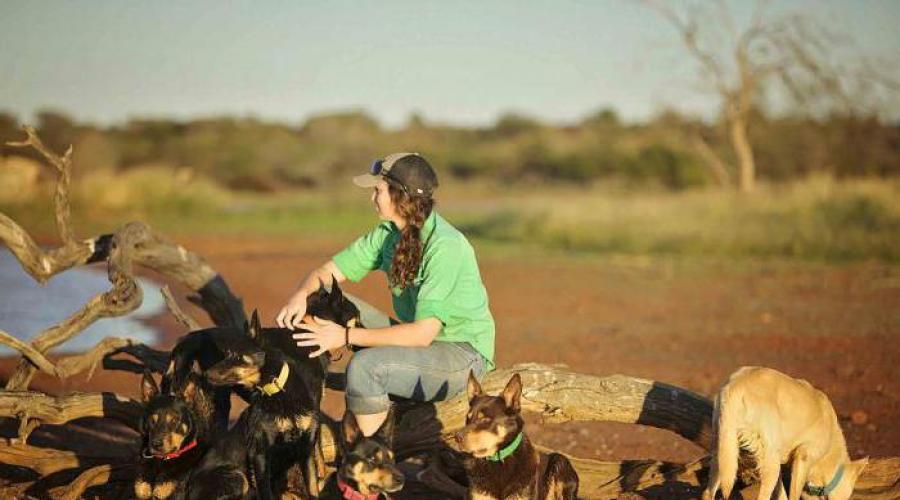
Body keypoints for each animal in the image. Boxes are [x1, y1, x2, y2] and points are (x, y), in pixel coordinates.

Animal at [708, 366, 868, 498]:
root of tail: (735, 388)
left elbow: (782, 494)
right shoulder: (803, 457)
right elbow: (793, 494)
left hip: (723, 450)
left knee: (707, 492)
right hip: (768, 462)